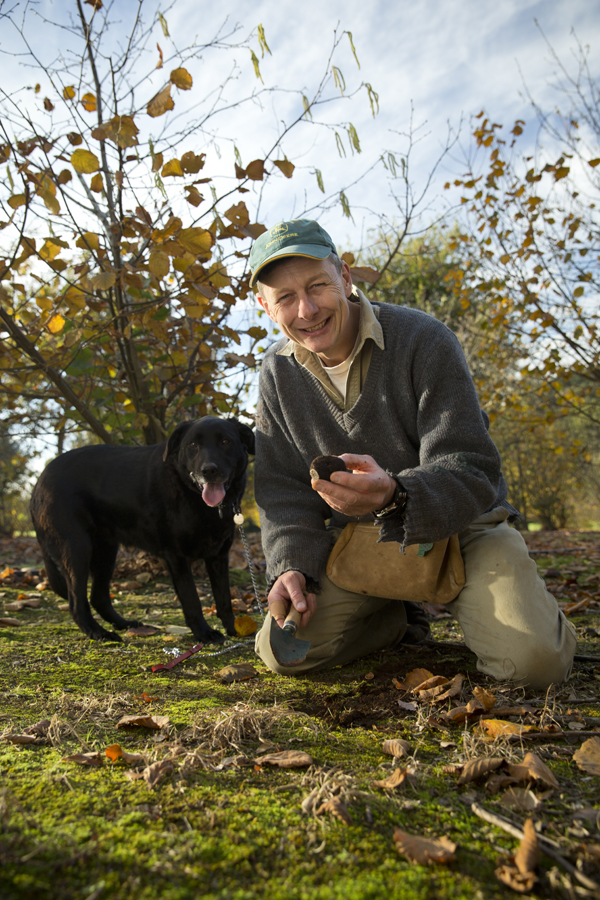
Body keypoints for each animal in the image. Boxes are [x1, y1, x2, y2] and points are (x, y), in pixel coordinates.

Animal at [29, 418, 254, 644]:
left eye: (225, 441)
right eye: (192, 445)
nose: (209, 470)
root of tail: (39, 481)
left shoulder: (219, 556)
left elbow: (224, 597)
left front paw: (234, 628)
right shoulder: (176, 556)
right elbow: (191, 599)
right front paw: (203, 633)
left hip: (106, 552)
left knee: (98, 597)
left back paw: (124, 624)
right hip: (76, 550)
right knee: (77, 602)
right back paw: (99, 633)